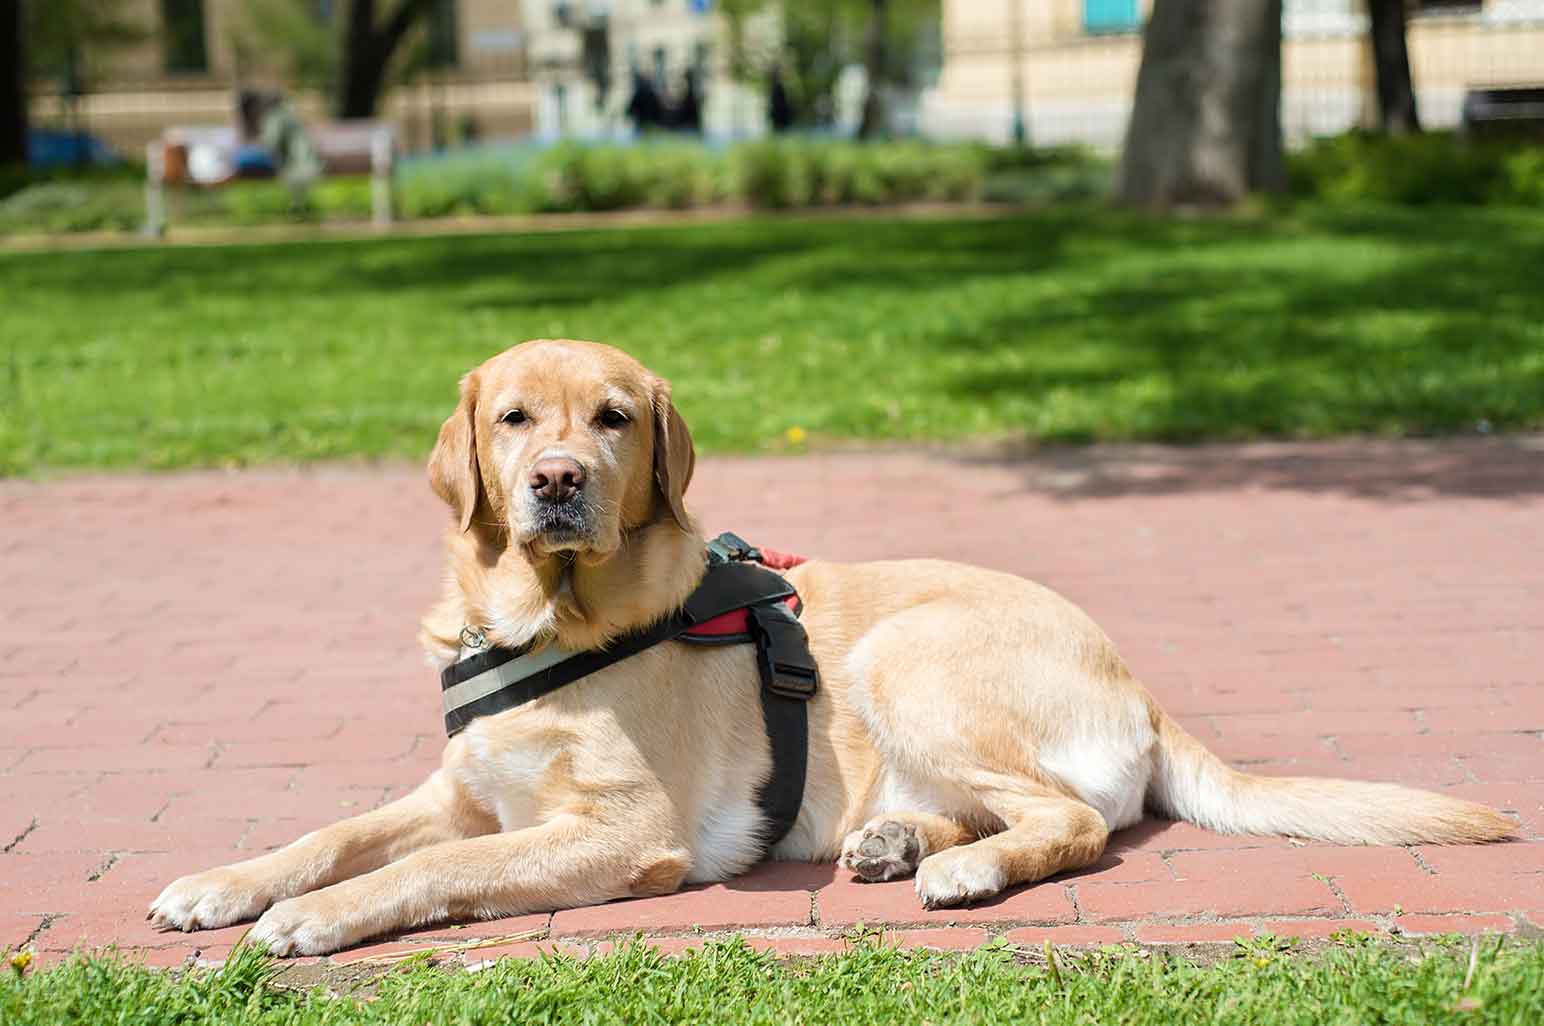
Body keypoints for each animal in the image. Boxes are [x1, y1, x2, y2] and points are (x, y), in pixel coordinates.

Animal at [147, 342, 1506, 950]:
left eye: (612, 418)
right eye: (515, 418)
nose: (556, 483)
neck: (547, 618)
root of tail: (1139, 680)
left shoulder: (622, 835)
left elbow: (431, 870)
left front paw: (315, 919)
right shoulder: (462, 791)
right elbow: (336, 833)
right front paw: (224, 882)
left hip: (903, 655)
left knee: (1072, 819)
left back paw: (961, 869)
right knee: (1017, 807)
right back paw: (901, 839)